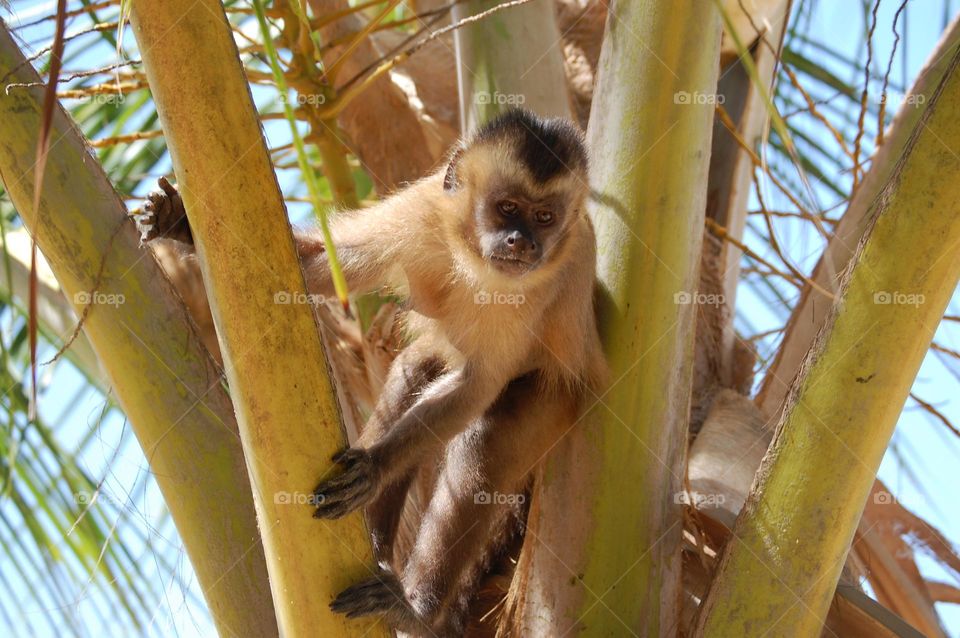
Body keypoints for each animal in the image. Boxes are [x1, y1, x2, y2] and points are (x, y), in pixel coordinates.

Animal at [137, 108, 605, 636]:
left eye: (544, 218)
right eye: (507, 208)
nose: (522, 242)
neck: (469, 253)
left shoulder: (538, 281)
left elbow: (479, 386)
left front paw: (376, 467)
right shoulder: (424, 206)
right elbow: (322, 271)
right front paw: (180, 227)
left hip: (555, 395)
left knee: (483, 443)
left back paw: (414, 609)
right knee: (412, 373)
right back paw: (377, 544)